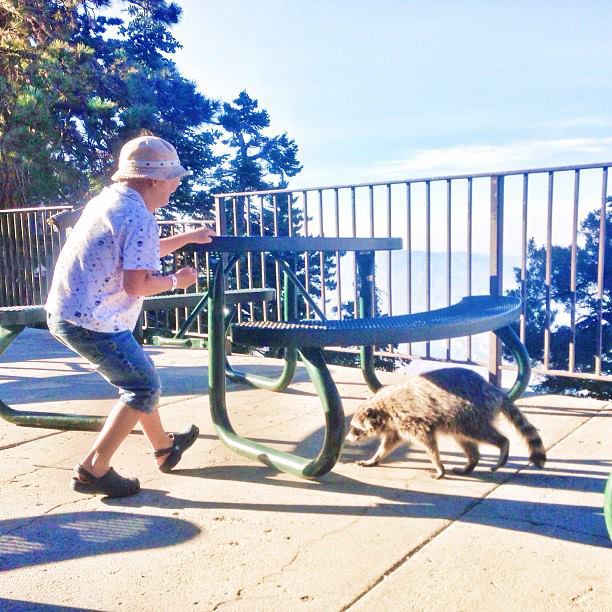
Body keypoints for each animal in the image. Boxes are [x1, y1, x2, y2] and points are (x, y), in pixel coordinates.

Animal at [346, 368, 548, 478]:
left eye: (355, 428)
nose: (347, 439)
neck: (383, 408)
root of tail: (492, 389)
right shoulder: (396, 426)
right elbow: (388, 444)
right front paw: (374, 458)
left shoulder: (409, 419)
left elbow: (427, 441)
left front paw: (437, 464)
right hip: (462, 417)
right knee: (464, 439)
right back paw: (472, 462)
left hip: (471, 411)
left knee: (478, 432)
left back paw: (502, 444)